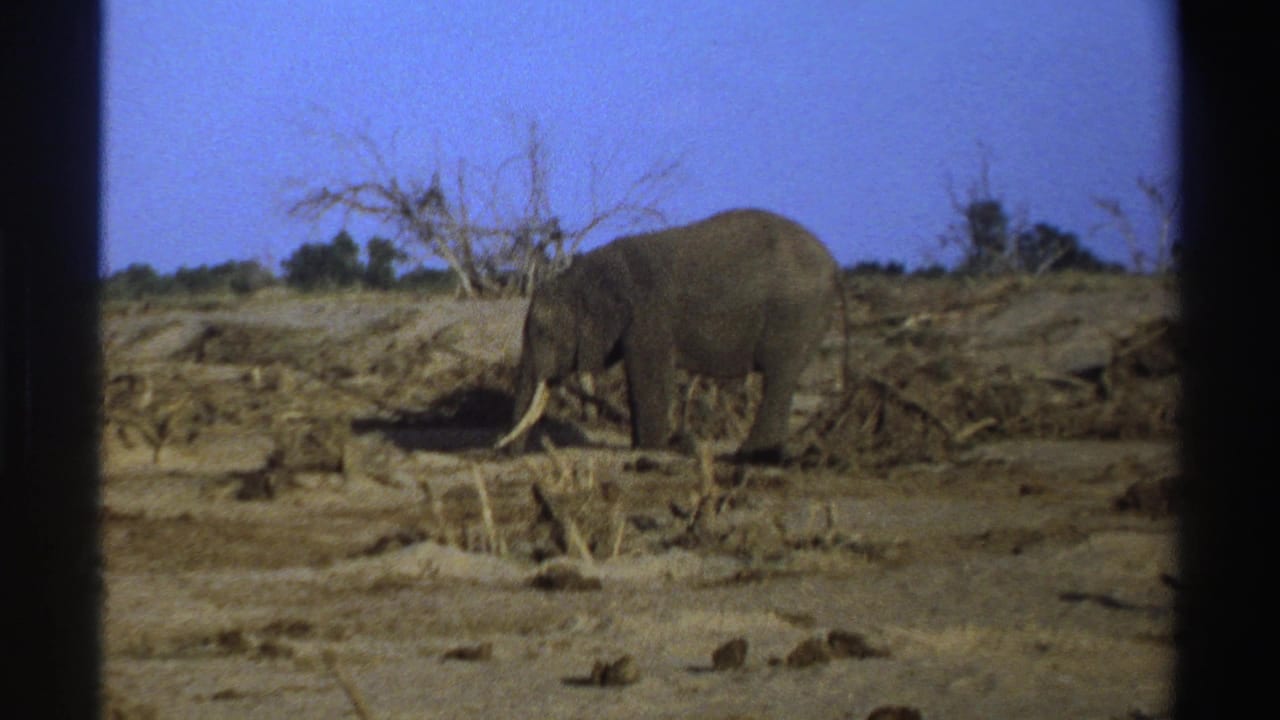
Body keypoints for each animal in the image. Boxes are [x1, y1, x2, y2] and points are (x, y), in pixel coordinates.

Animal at [496, 208, 842, 463]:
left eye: (545, 334)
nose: (505, 454)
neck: (589, 272)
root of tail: (833, 264)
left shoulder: (649, 316)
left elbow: (649, 373)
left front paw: (649, 448)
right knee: (783, 378)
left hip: (794, 313)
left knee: (779, 375)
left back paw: (750, 456)